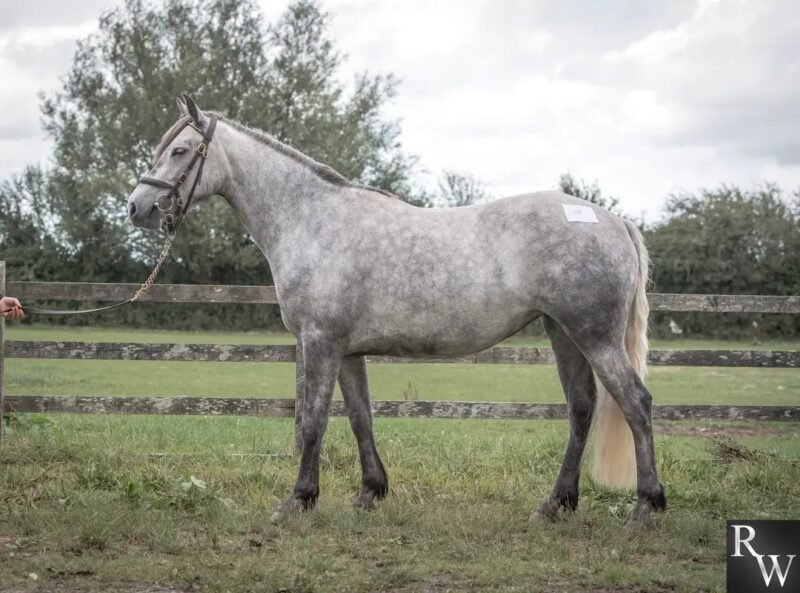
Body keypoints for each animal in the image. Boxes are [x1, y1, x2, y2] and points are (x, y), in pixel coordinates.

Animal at [127, 95, 666, 530]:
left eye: (180, 151)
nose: (137, 207)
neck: (312, 220)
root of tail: (614, 220)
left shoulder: (319, 341)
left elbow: (313, 421)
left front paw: (299, 500)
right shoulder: (346, 351)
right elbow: (360, 417)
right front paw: (370, 492)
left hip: (594, 336)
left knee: (636, 403)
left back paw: (646, 506)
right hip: (563, 332)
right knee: (582, 408)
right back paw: (554, 505)